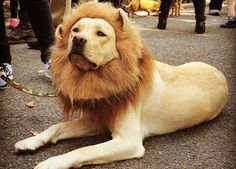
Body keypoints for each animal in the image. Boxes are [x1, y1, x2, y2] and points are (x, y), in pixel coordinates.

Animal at [14, 1, 227, 169]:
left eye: (101, 34)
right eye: (75, 30)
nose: (77, 40)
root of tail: (221, 74)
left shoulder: (128, 141)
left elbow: (83, 150)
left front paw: (52, 162)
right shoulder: (98, 119)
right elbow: (57, 126)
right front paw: (31, 141)